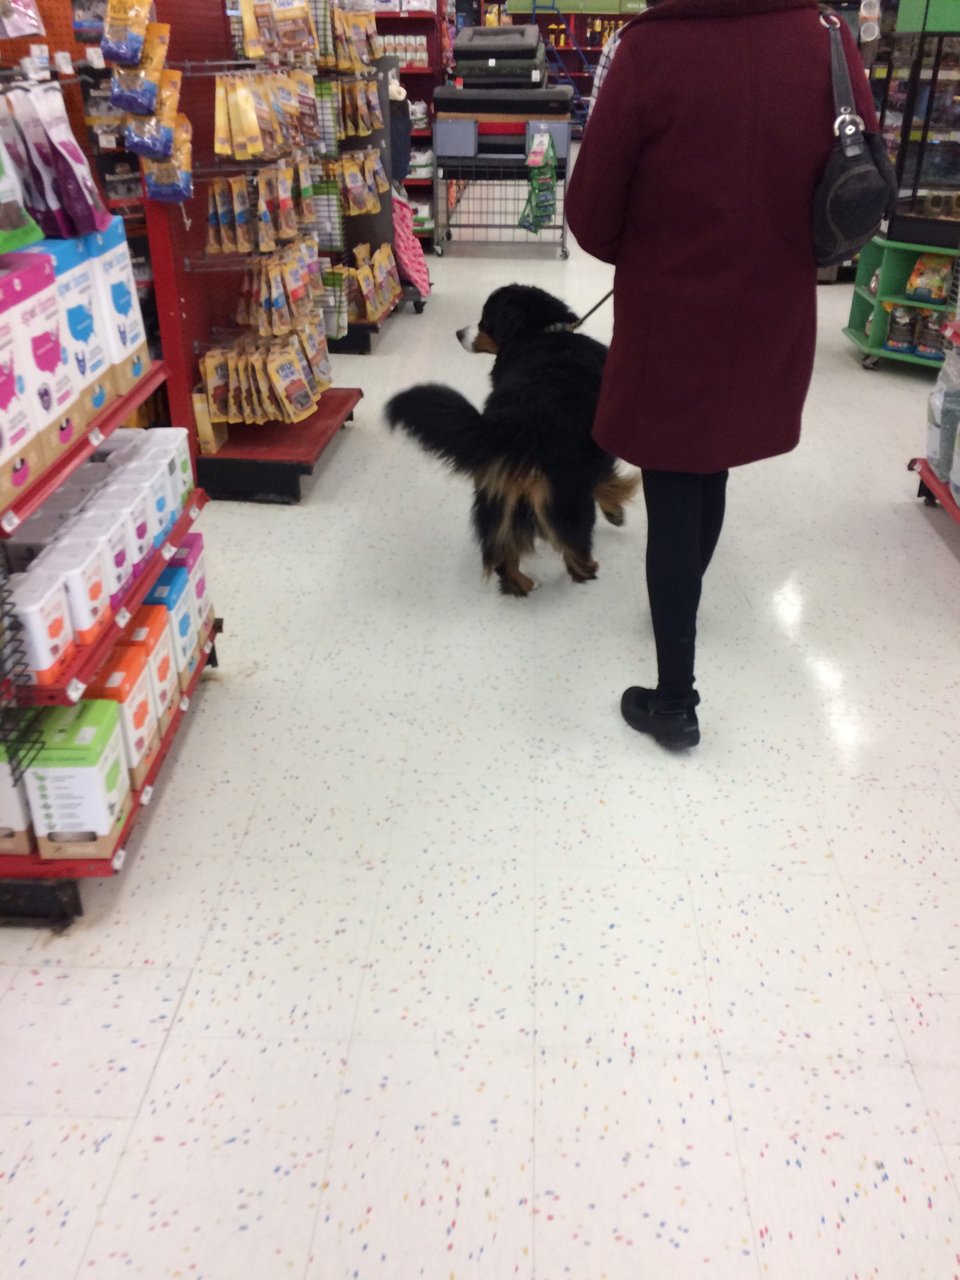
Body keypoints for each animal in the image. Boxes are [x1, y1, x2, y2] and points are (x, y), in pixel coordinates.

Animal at [384, 284, 638, 597]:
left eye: (485, 319)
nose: (458, 333)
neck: (540, 332)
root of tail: (517, 427)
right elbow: (605, 480)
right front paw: (615, 511)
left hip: (496, 495)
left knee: (502, 556)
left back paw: (522, 585)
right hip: (567, 498)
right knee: (575, 553)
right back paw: (588, 570)